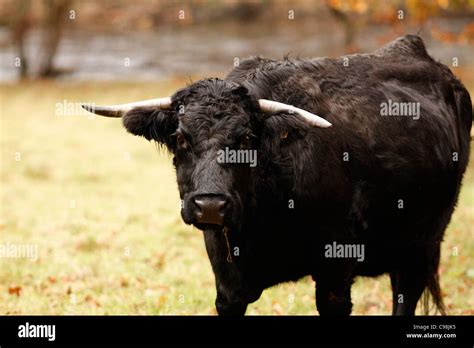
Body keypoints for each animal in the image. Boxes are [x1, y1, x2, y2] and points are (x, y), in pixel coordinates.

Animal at [83, 35, 472, 316]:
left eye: (246, 139)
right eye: (180, 137)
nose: (210, 205)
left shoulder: (336, 272)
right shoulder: (227, 284)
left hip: (422, 245)